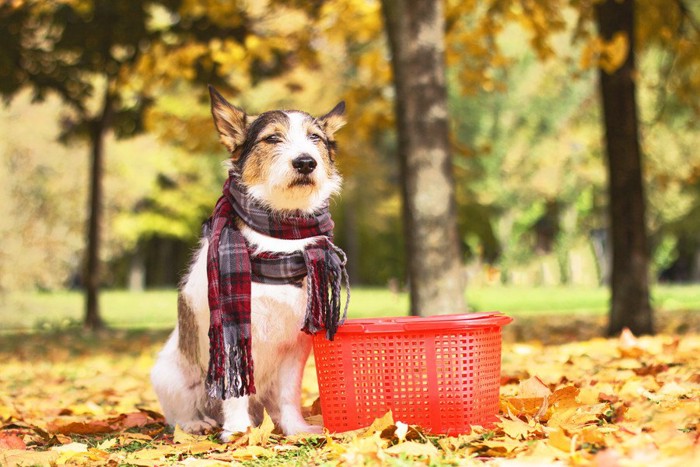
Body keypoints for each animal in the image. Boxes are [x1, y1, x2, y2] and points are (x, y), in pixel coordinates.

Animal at [153, 86, 350, 440]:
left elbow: (289, 393)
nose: (305, 162)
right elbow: (236, 391)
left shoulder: (296, 342)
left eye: (315, 137)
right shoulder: (234, 339)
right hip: (170, 374)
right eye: (272, 138)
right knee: (179, 414)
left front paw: (296, 428)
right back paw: (196, 423)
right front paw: (238, 432)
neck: (282, 235)